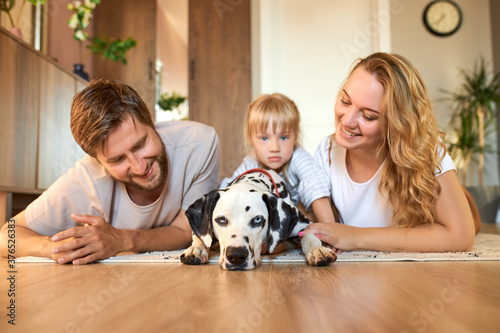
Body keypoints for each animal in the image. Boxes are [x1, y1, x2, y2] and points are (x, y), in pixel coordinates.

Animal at [180, 169, 336, 270]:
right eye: (221, 219)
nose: (236, 256)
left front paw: (317, 249)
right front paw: (196, 249)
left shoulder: (302, 222)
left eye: (258, 220)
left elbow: (309, 234)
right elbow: (199, 236)